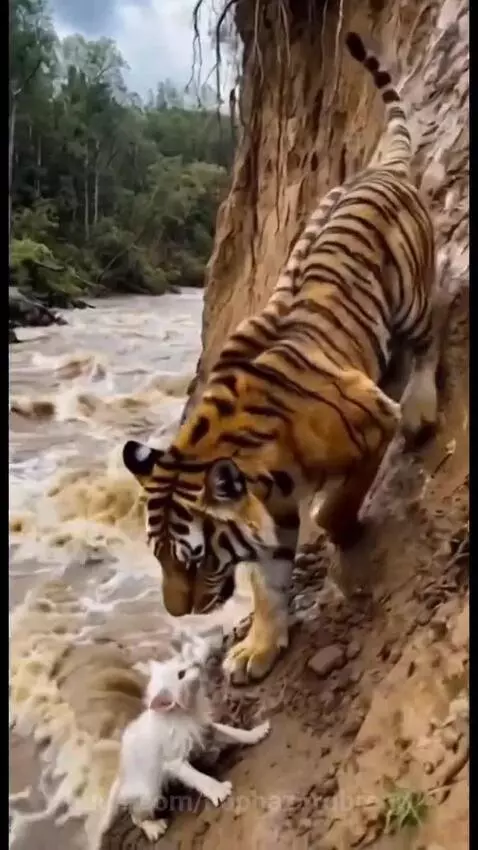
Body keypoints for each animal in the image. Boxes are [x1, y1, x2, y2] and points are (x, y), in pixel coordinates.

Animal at [122, 31, 445, 686]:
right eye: (159, 557)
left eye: (193, 558)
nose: (176, 612)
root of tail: (381, 166)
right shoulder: (267, 517)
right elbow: (266, 586)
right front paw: (259, 647)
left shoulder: (371, 421)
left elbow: (337, 505)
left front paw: (344, 529)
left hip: (411, 297)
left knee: (428, 342)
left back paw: (422, 408)